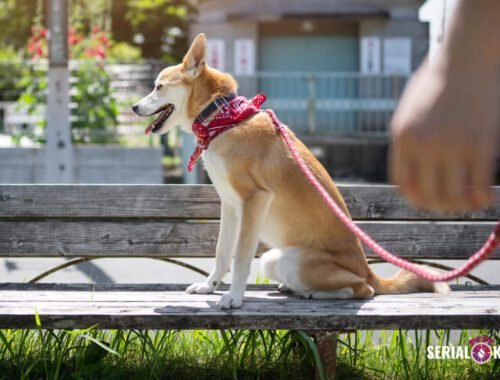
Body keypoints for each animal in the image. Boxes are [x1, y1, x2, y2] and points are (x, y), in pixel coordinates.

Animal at [131, 33, 448, 308]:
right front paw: (209, 287)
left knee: (363, 290)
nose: (133, 107)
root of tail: (368, 270)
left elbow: (241, 257)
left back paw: (316, 293)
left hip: (297, 262)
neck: (222, 118)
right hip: (274, 259)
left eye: (158, 86)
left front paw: (234, 298)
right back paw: (292, 288)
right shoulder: (231, 206)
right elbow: (222, 253)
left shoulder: (254, 200)